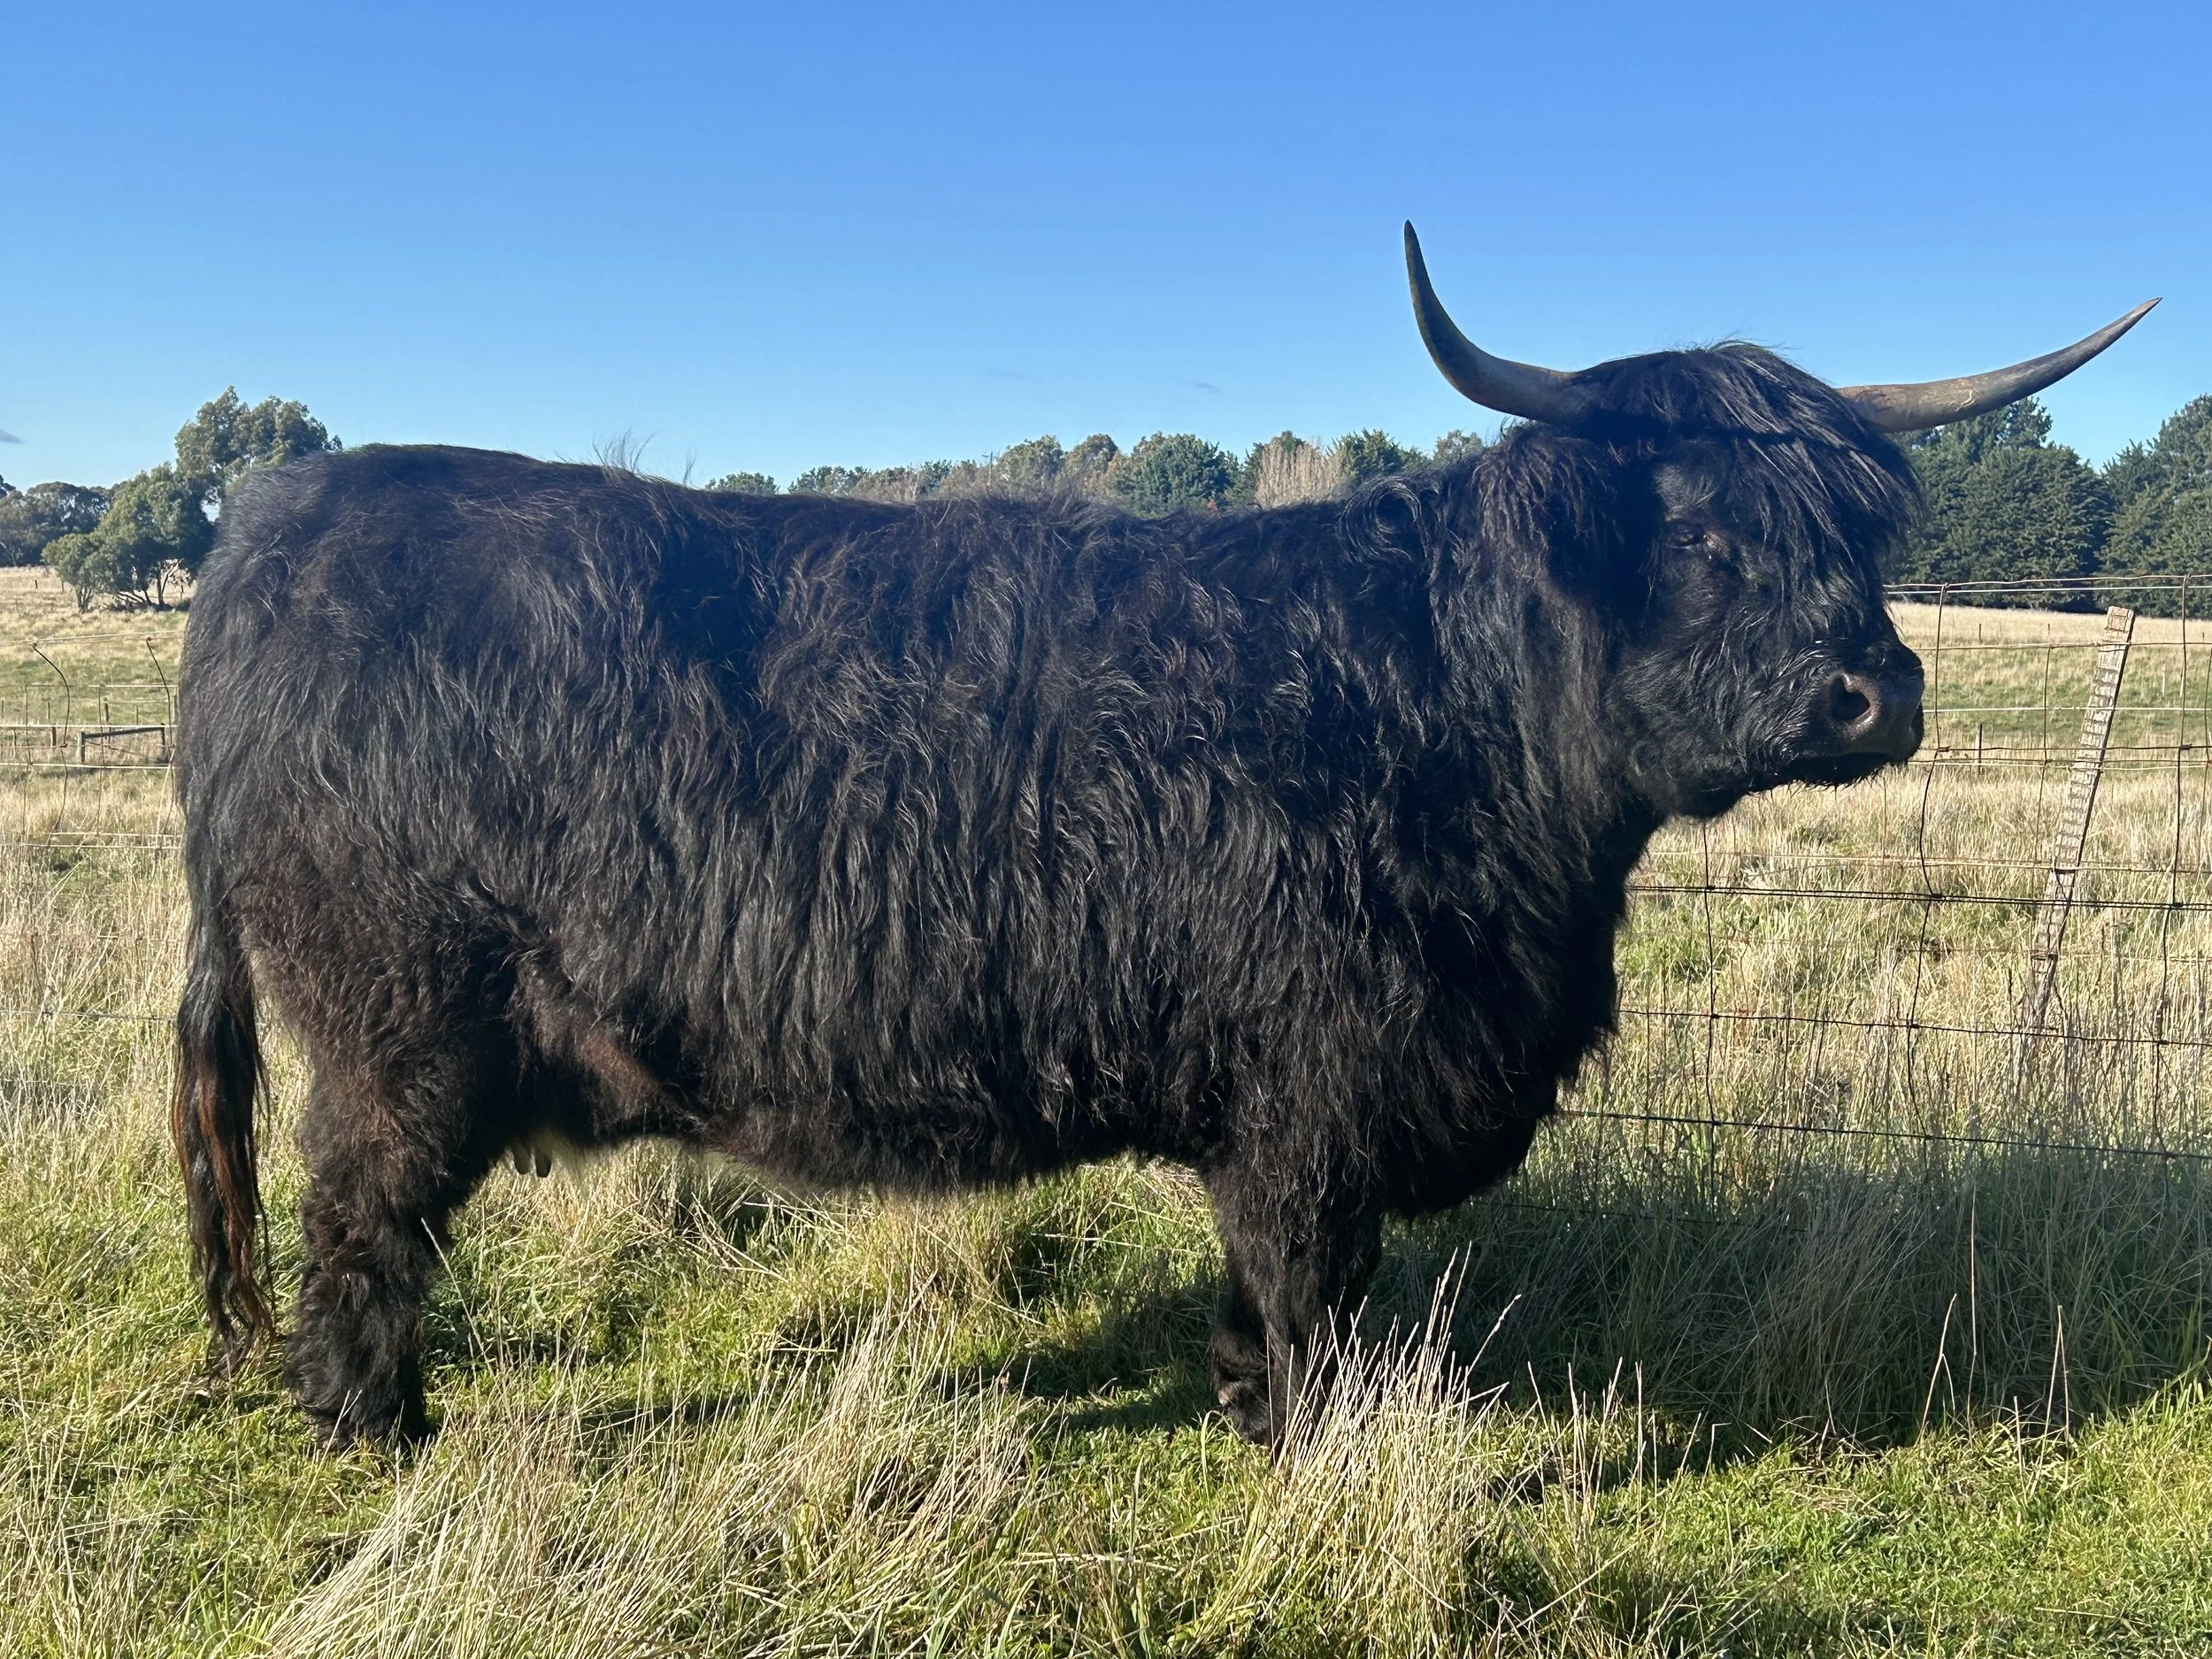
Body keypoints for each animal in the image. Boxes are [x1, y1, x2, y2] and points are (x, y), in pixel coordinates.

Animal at [171, 225, 2154, 1447]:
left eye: (1853, 526)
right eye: (1695, 520)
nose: (1870, 691)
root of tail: (282, 516)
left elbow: (1265, 1290)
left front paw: (1237, 1403)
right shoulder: (1315, 1089)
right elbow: (1312, 1286)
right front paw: (1309, 1442)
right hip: (399, 1025)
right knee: (357, 1220)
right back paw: (376, 1427)